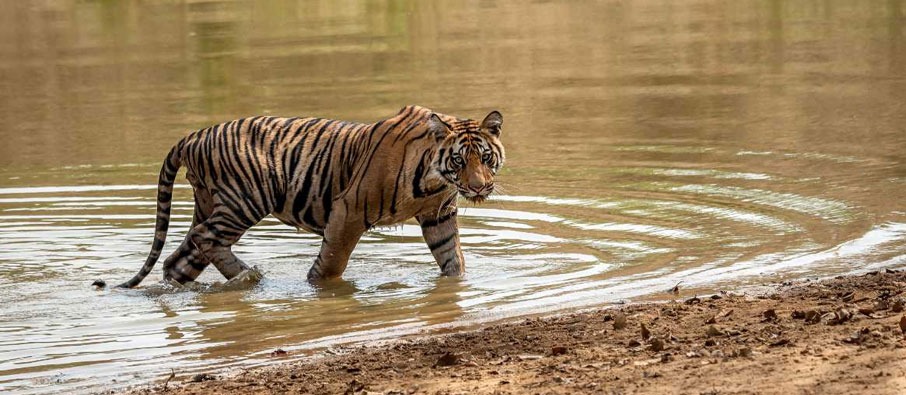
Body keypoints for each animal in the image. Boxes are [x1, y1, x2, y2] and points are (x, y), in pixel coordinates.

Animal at [111, 106, 502, 290]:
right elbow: (331, 261)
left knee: (179, 258)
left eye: (485, 158)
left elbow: (453, 258)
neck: (435, 181)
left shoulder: (439, 216)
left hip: (210, 203)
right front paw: (317, 285)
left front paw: (456, 284)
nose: (479, 187)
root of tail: (194, 135)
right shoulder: (348, 210)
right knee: (204, 237)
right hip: (244, 200)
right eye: (458, 160)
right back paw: (251, 277)